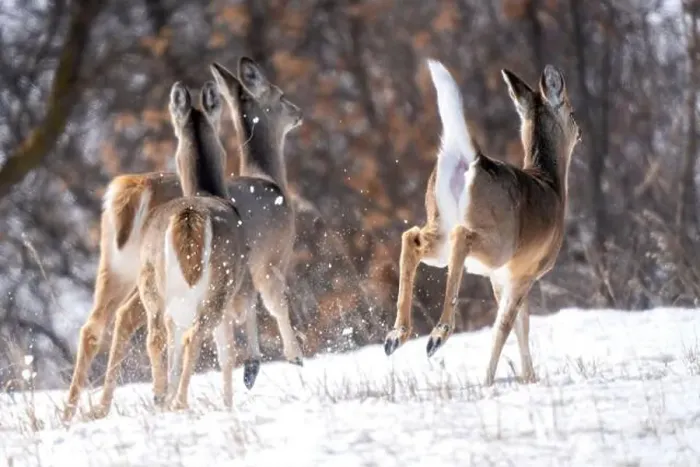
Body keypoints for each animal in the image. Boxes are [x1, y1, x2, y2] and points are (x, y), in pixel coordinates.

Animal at [63, 56, 304, 420]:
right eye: (280, 94)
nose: (298, 111)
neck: (270, 183)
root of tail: (132, 189)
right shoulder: (269, 256)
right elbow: (272, 303)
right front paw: (289, 357)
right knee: (151, 324)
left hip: (118, 266)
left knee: (101, 326)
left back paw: (82, 410)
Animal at [383, 58, 581, 386]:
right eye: (572, 112)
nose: (580, 132)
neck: (553, 185)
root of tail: (470, 158)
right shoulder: (524, 272)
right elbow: (505, 327)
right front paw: (489, 379)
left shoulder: (501, 277)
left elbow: (521, 326)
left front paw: (528, 378)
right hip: (497, 242)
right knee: (461, 236)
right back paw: (437, 335)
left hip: (439, 224)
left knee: (411, 237)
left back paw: (396, 335)